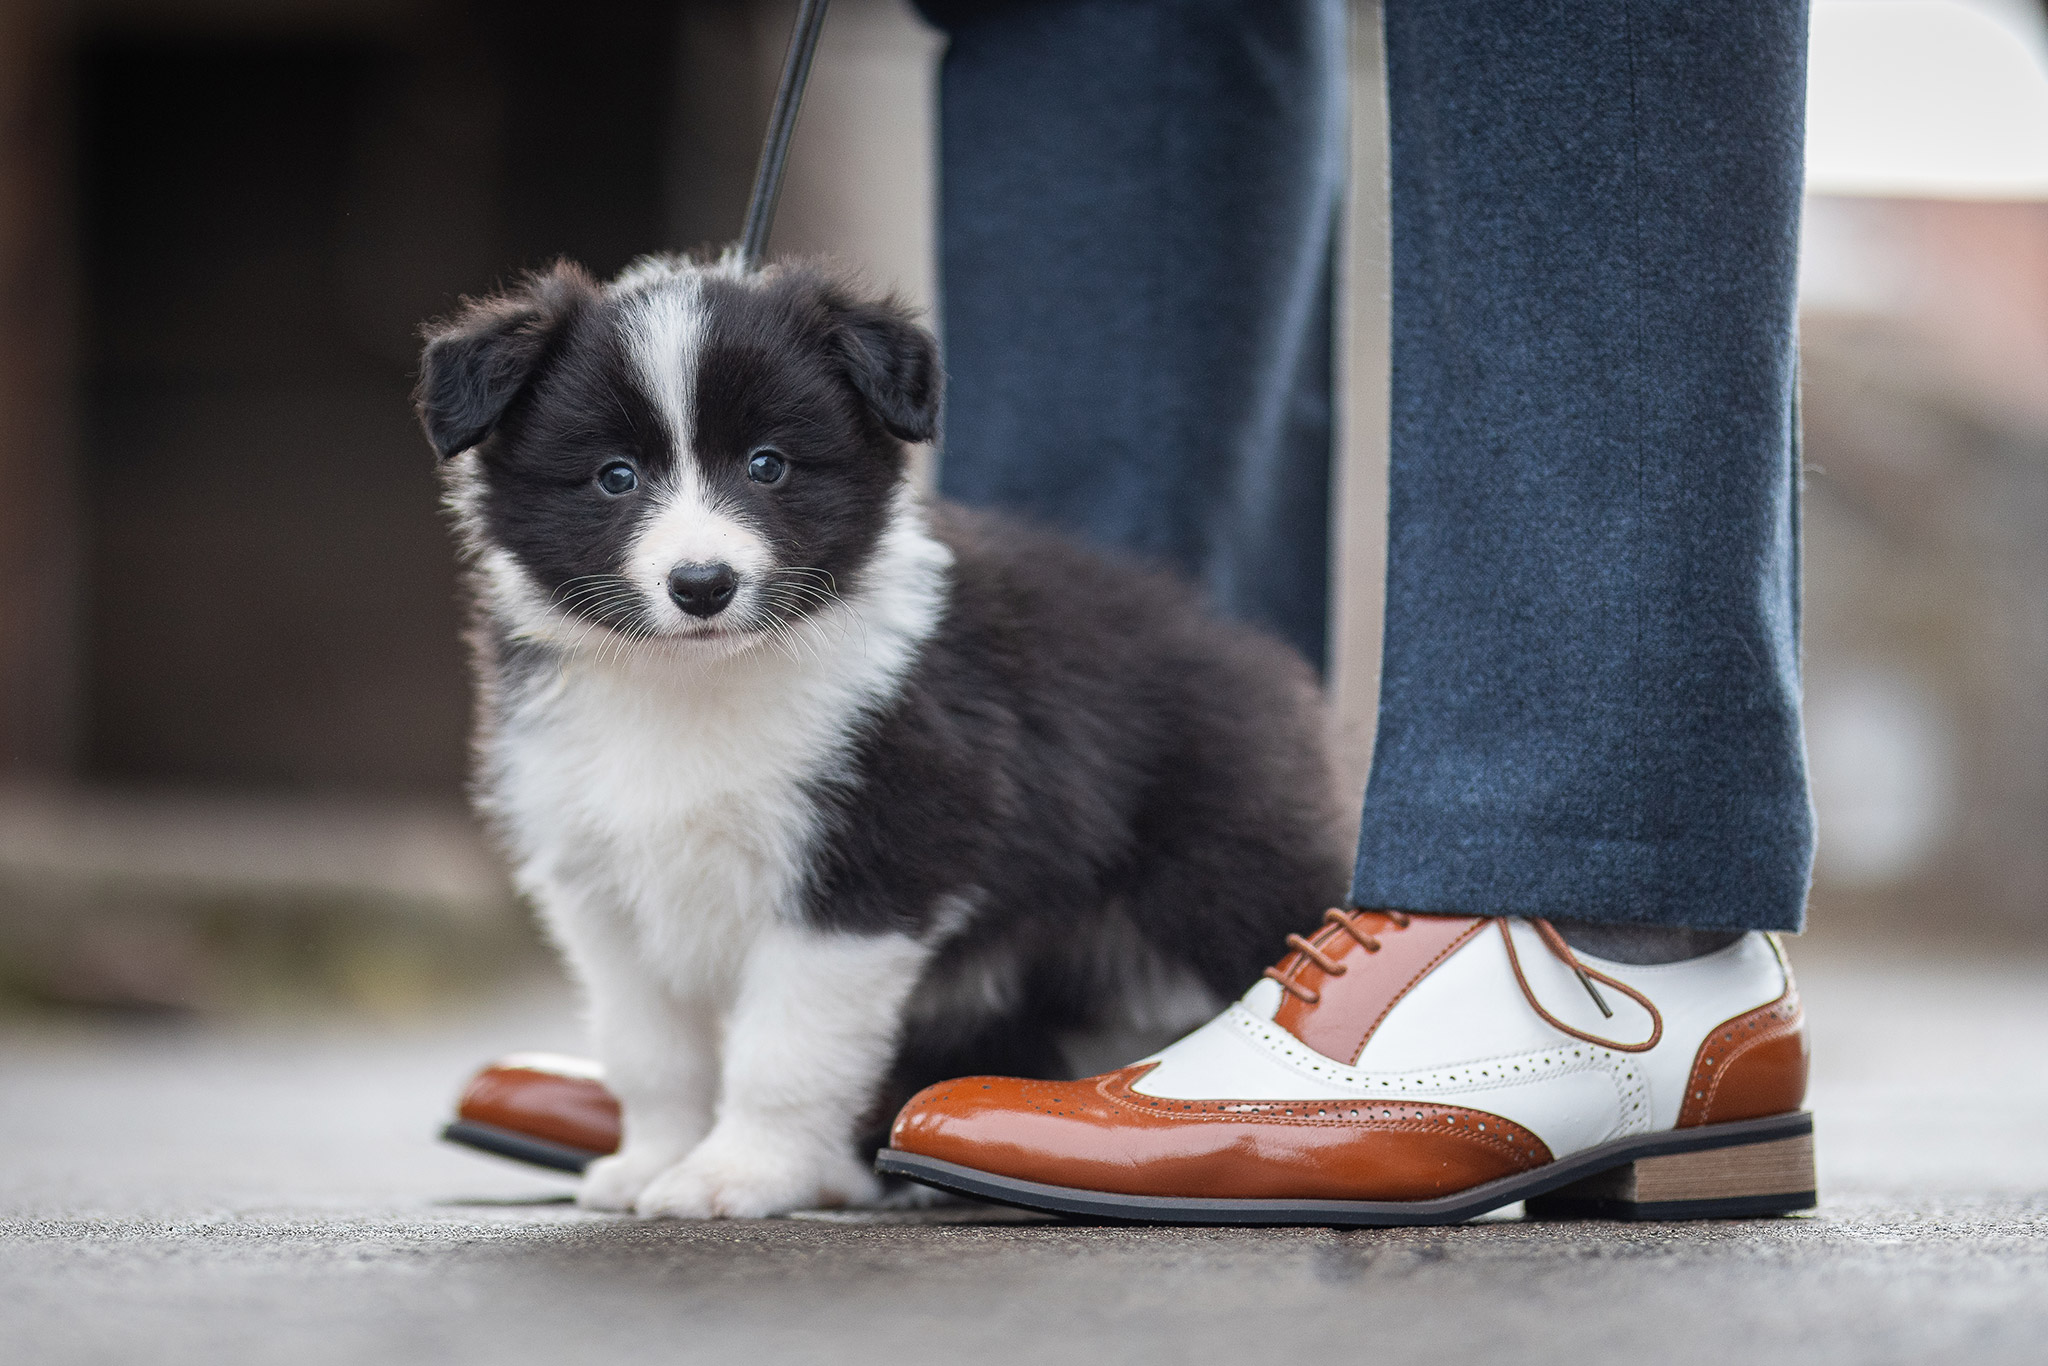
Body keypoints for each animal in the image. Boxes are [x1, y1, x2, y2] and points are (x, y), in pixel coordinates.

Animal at [413, 255, 1343, 1220]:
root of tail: (1248, 653)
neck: (695, 683)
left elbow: (783, 1048)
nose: (702, 585)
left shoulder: (870, 861)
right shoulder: (599, 884)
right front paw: (650, 1162)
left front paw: (736, 1174)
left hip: (1222, 865)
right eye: (614, 477)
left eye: (769, 465)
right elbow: (652, 1049)